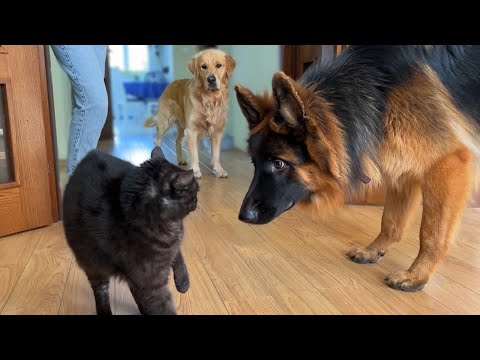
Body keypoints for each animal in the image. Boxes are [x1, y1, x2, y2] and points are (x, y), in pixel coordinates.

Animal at [62, 146, 199, 316]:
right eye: (196, 191)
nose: (197, 202)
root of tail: (87, 157)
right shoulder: (151, 283)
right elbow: (162, 307)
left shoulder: (170, 248)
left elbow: (177, 255)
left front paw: (183, 282)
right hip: (91, 261)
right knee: (101, 289)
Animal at [236, 45, 480, 292]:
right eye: (254, 163)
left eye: (279, 163)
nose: (243, 216)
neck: (380, 89)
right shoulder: (403, 169)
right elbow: (390, 220)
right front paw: (373, 250)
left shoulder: (447, 163)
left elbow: (432, 232)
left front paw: (417, 275)